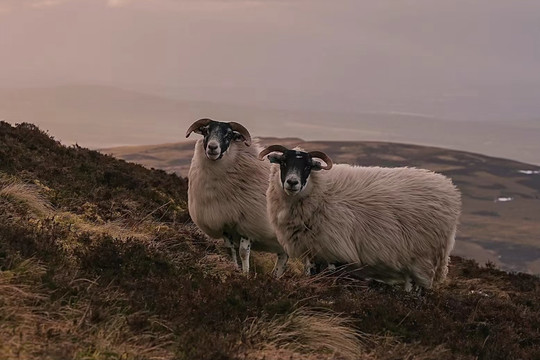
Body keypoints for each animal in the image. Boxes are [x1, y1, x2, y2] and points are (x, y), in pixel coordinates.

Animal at [186, 119, 288, 278]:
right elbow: (230, 249)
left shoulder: (247, 224)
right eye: (206, 131)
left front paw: (245, 274)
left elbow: (244, 252)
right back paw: (276, 277)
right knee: (283, 257)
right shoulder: (224, 224)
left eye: (229, 135)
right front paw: (234, 268)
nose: (212, 147)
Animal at [260, 144, 462, 290]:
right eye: (283, 162)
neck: (320, 191)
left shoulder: (334, 249)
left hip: (424, 259)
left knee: (419, 289)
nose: (292, 182)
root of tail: (450, 191)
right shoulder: (313, 248)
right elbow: (310, 273)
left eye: (308, 166)